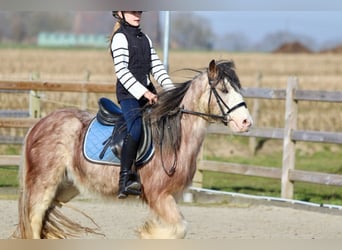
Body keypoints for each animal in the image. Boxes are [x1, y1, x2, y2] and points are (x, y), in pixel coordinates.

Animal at [12, 58, 251, 238]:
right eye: (224, 89)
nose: (246, 122)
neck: (173, 138)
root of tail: (39, 124)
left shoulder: (171, 198)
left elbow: (177, 229)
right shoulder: (158, 196)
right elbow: (179, 229)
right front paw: (147, 232)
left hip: (67, 186)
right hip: (44, 183)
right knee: (34, 220)